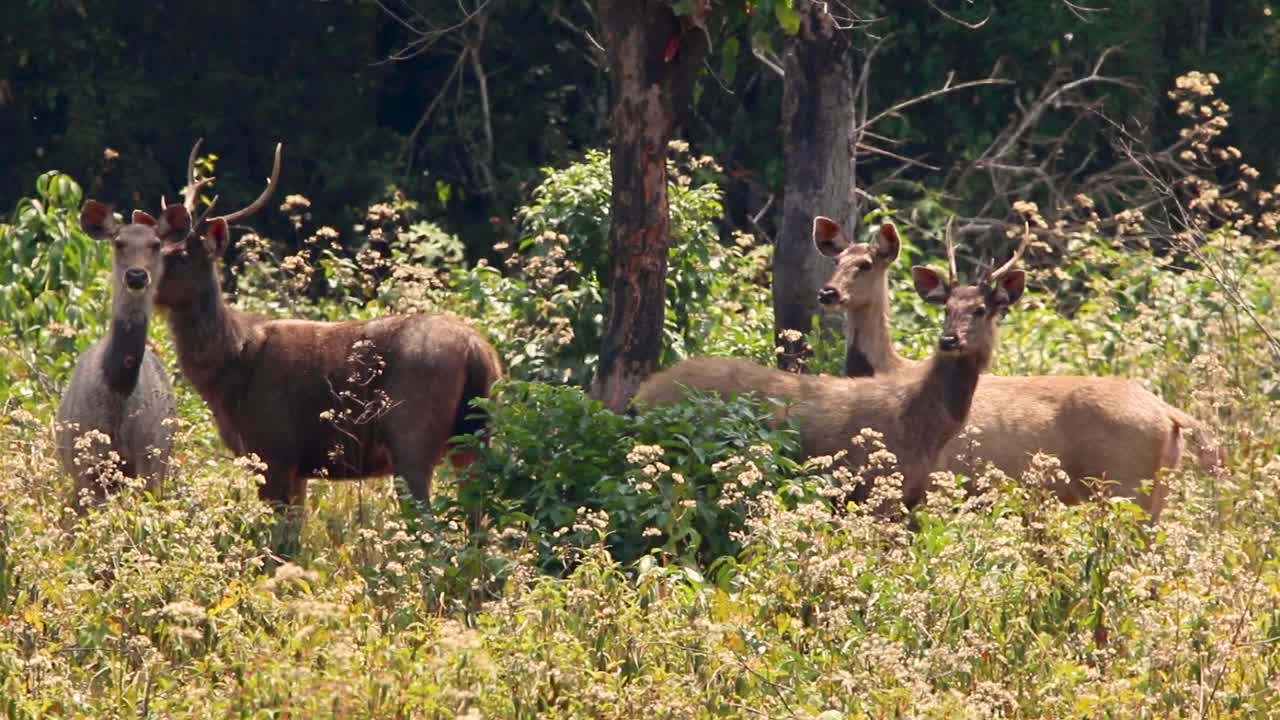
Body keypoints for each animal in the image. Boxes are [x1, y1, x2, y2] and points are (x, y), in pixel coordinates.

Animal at [56, 202, 185, 504]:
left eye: (156, 243)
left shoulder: (150, 457)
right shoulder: (85, 463)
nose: (136, 275)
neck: (118, 389)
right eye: (118, 242)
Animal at [152, 141, 501, 509]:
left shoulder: (273, 449)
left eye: (181, 257)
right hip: (476, 433)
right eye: (157, 246)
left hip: (412, 433)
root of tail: (477, 350)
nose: (136, 277)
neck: (230, 366)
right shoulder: (298, 467)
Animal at [632, 228, 1029, 504]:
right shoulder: (875, 486)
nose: (949, 341)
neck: (921, 423)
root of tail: (642, 395)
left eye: (981, 310)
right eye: (946, 309)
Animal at [808, 212, 1218, 515]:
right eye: (837, 260)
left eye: (865, 265)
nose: (828, 292)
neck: (889, 369)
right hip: (1155, 489)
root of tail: (1170, 413)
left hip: (1126, 483)